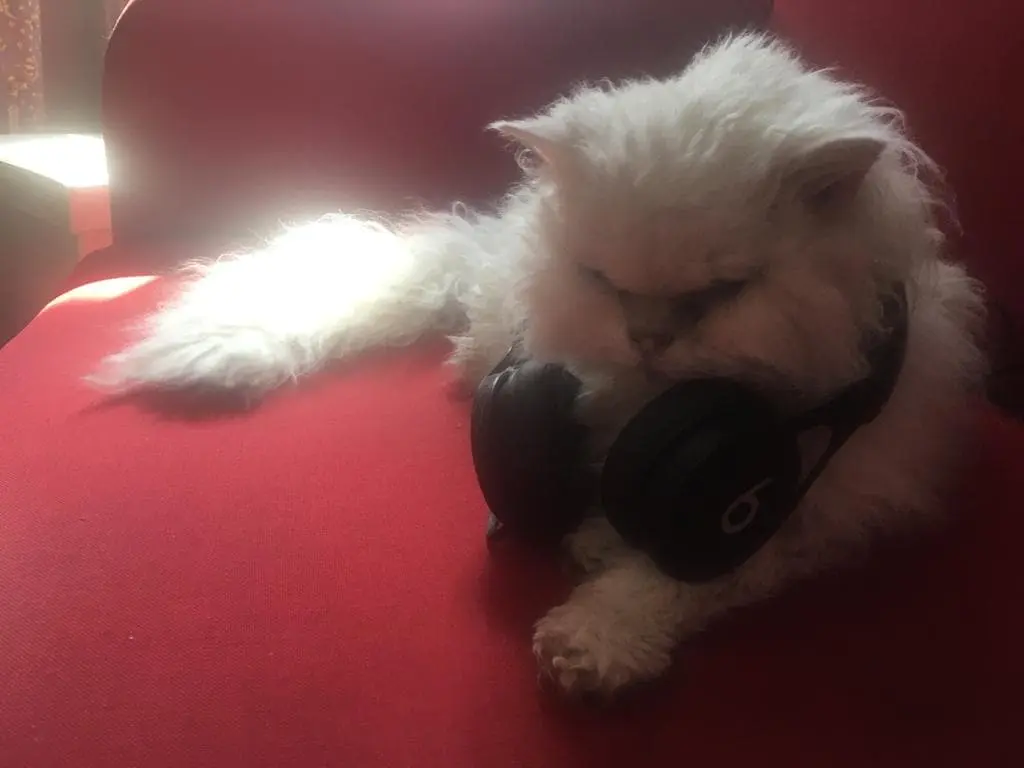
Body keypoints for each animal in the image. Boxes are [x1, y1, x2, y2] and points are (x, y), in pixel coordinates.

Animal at [90, 32, 987, 697]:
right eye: (604, 280)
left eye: (721, 292)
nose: (649, 341)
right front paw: (591, 557)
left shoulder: (820, 504)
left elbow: (687, 573)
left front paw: (594, 627)